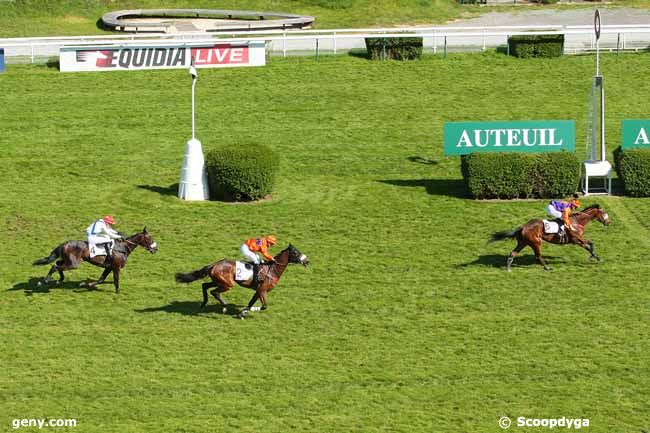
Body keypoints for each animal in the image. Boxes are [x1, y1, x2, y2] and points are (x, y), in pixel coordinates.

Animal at [175, 243, 308, 318]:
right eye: (296, 252)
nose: (307, 261)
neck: (272, 269)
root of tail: (214, 265)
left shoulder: (258, 291)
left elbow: (251, 303)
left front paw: (243, 312)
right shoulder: (263, 290)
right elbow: (264, 306)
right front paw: (244, 312)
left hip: (218, 281)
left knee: (204, 285)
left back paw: (204, 303)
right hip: (228, 284)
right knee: (214, 292)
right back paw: (224, 307)